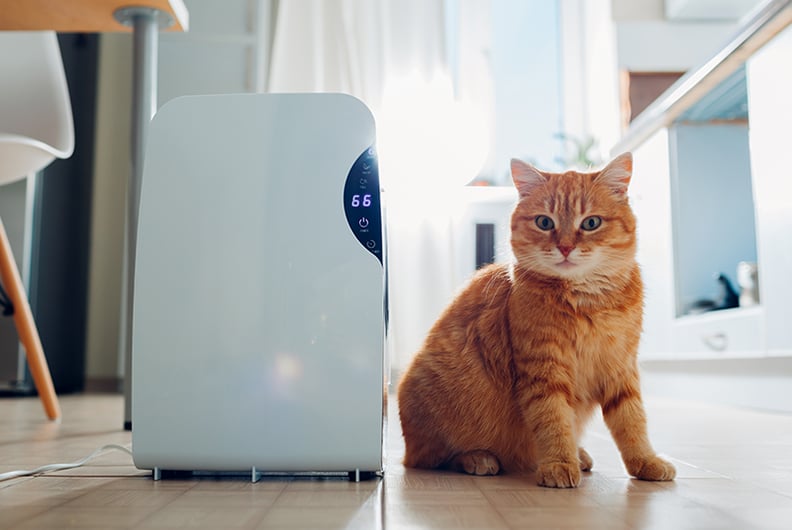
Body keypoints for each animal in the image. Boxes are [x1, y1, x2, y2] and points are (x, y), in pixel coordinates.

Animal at [400, 151, 676, 484]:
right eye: (545, 222)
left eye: (591, 223)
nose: (566, 247)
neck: (588, 302)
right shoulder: (544, 371)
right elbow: (553, 421)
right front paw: (559, 463)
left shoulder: (620, 368)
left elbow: (632, 421)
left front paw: (645, 462)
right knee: (436, 458)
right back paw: (479, 458)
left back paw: (579, 454)